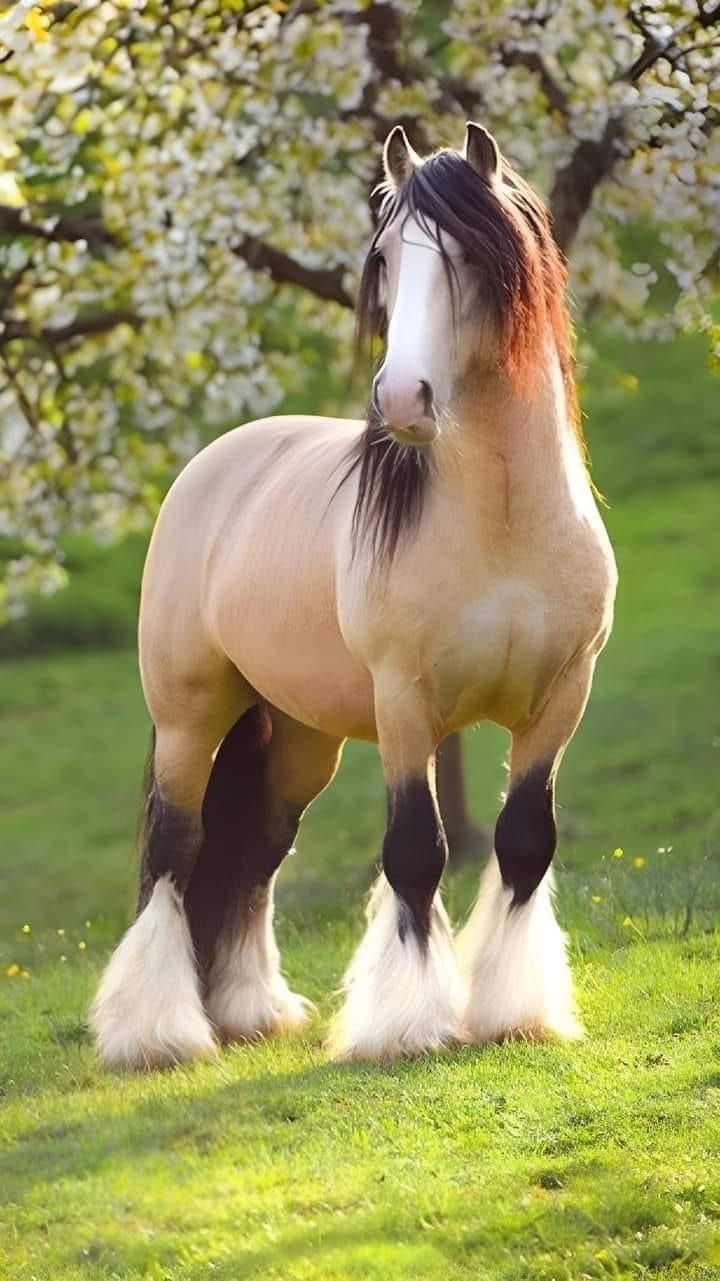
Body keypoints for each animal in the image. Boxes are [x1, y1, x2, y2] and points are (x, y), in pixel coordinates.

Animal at [90, 122, 617, 1070]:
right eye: (386, 257)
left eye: (468, 256)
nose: (403, 396)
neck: (504, 528)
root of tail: (212, 464)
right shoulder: (405, 704)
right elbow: (414, 852)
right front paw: (406, 1024)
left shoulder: (562, 699)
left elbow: (524, 844)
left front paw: (512, 1011)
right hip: (191, 715)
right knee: (176, 847)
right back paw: (158, 1031)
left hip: (300, 735)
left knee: (259, 850)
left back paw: (250, 1009)